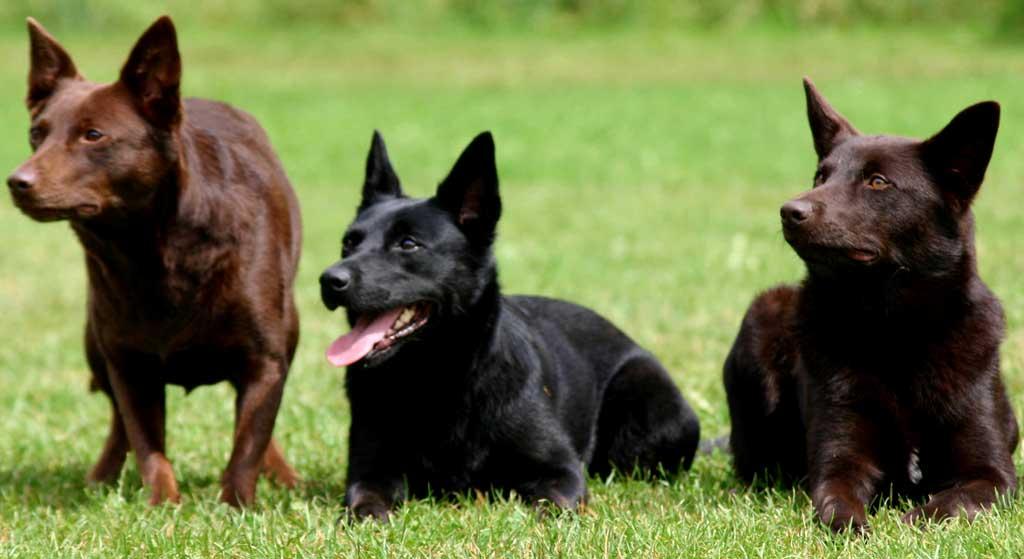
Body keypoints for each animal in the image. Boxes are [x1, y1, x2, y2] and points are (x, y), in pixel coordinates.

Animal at [6, 17, 302, 506]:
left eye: (93, 135)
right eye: (36, 134)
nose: (17, 182)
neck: (152, 250)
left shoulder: (265, 358)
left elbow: (248, 442)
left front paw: (236, 506)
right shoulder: (128, 361)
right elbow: (147, 443)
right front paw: (164, 505)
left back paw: (282, 474)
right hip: (94, 343)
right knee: (117, 424)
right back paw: (101, 477)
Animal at [319, 131, 700, 520]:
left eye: (408, 244)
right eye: (349, 243)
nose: (329, 280)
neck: (438, 379)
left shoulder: (562, 471)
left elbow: (552, 506)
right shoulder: (370, 470)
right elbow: (364, 502)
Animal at [723, 78, 1019, 532]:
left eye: (878, 182)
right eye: (820, 175)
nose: (790, 211)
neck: (892, 330)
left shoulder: (994, 476)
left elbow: (951, 503)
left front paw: (913, 520)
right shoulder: (839, 464)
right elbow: (836, 503)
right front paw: (858, 527)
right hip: (762, 315)